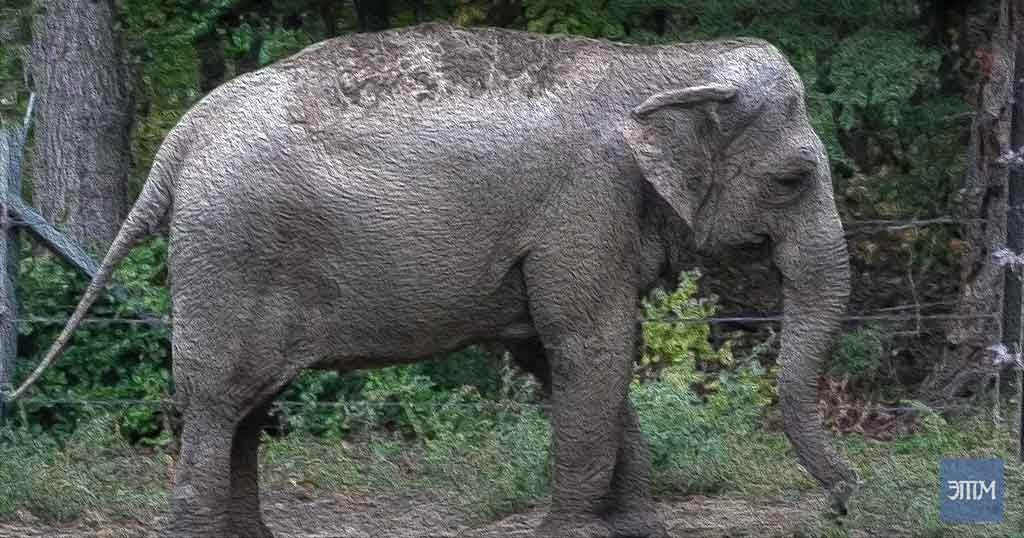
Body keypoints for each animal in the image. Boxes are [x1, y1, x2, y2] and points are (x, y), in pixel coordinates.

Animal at [11, 22, 856, 538]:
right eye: (791, 179)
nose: (845, 497)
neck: (663, 64)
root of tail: (181, 137)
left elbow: (560, 354)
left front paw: (637, 531)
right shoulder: (586, 205)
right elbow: (590, 346)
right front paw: (576, 533)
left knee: (247, 406)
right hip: (231, 252)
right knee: (218, 400)